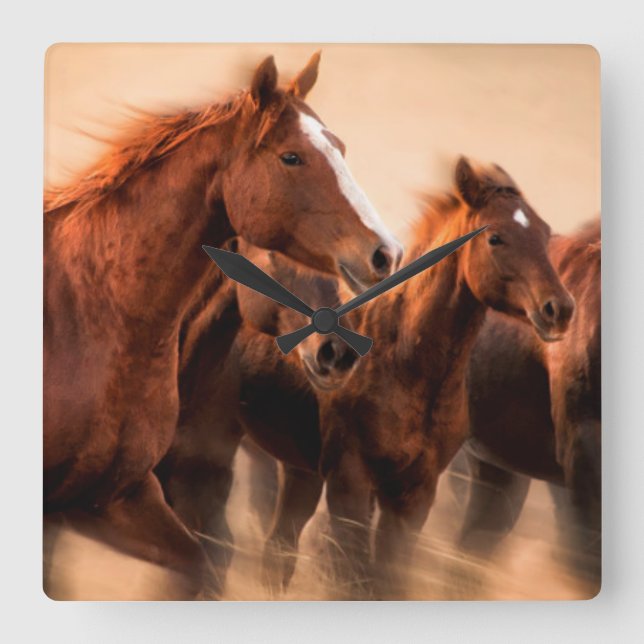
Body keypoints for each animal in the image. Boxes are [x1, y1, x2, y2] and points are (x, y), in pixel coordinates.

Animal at [314, 157, 575, 598]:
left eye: (544, 233)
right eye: (496, 238)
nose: (559, 309)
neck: (406, 366)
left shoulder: (415, 493)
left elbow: (388, 575)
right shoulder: (350, 477)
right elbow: (353, 570)